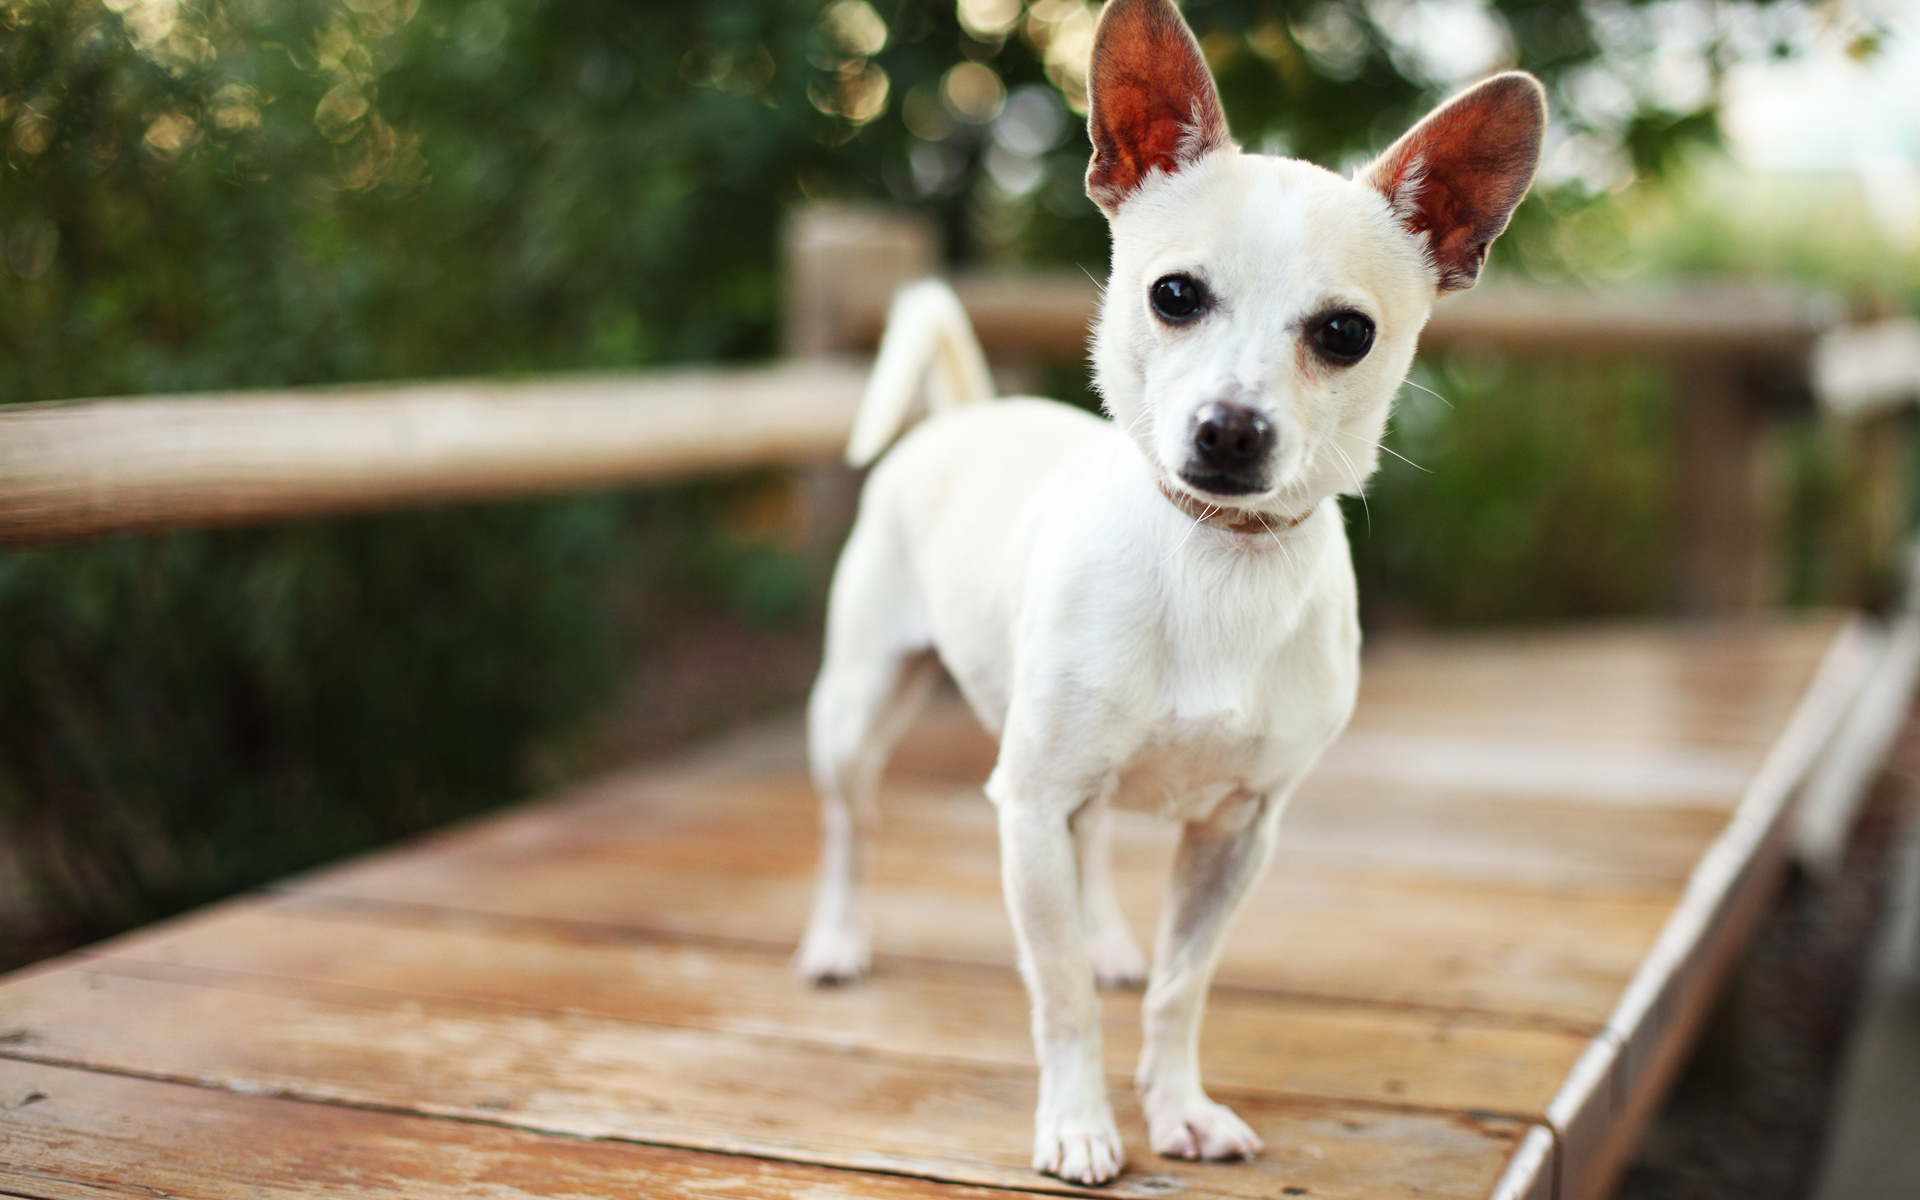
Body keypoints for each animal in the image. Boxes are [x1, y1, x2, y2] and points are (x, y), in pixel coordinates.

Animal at [794, 0, 1543, 1182]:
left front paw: (1179, 1105)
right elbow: (1056, 997)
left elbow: (1183, 988)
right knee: (849, 824)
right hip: (858, 707)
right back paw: (836, 939)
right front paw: (1077, 1123)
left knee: (1094, 850)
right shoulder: (1030, 805)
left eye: (1345, 333)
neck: (1218, 563)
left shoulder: (1235, 835)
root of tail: (966, 414)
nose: (1231, 429)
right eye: (1175, 296)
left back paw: (1107, 939)